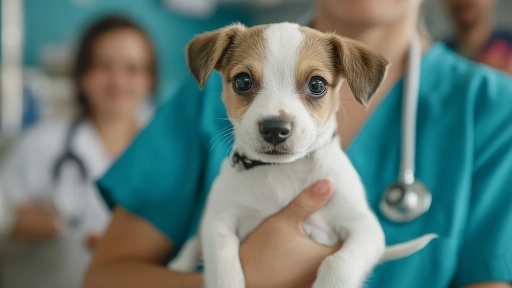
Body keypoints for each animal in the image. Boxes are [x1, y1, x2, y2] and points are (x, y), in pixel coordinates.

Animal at [169, 23, 436, 288]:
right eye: (242, 82)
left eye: (317, 85)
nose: (275, 128)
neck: (282, 170)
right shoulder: (218, 222)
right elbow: (223, 266)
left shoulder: (364, 228)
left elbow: (338, 263)